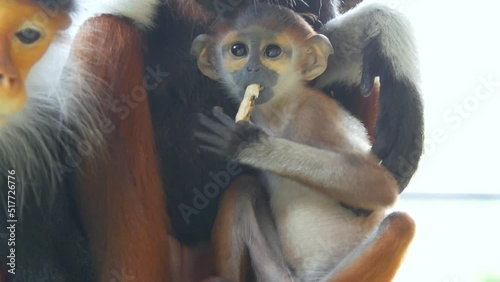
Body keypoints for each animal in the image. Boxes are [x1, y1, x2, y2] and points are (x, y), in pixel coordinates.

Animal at [191, 4, 414, 282]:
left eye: (272, 52)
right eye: (238, 50)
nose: (252, 69)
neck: (279, 113)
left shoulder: (315, 113)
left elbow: (379, 185)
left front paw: (246, 144)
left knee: (400, 223)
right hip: (275, 272)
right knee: (242, 188)